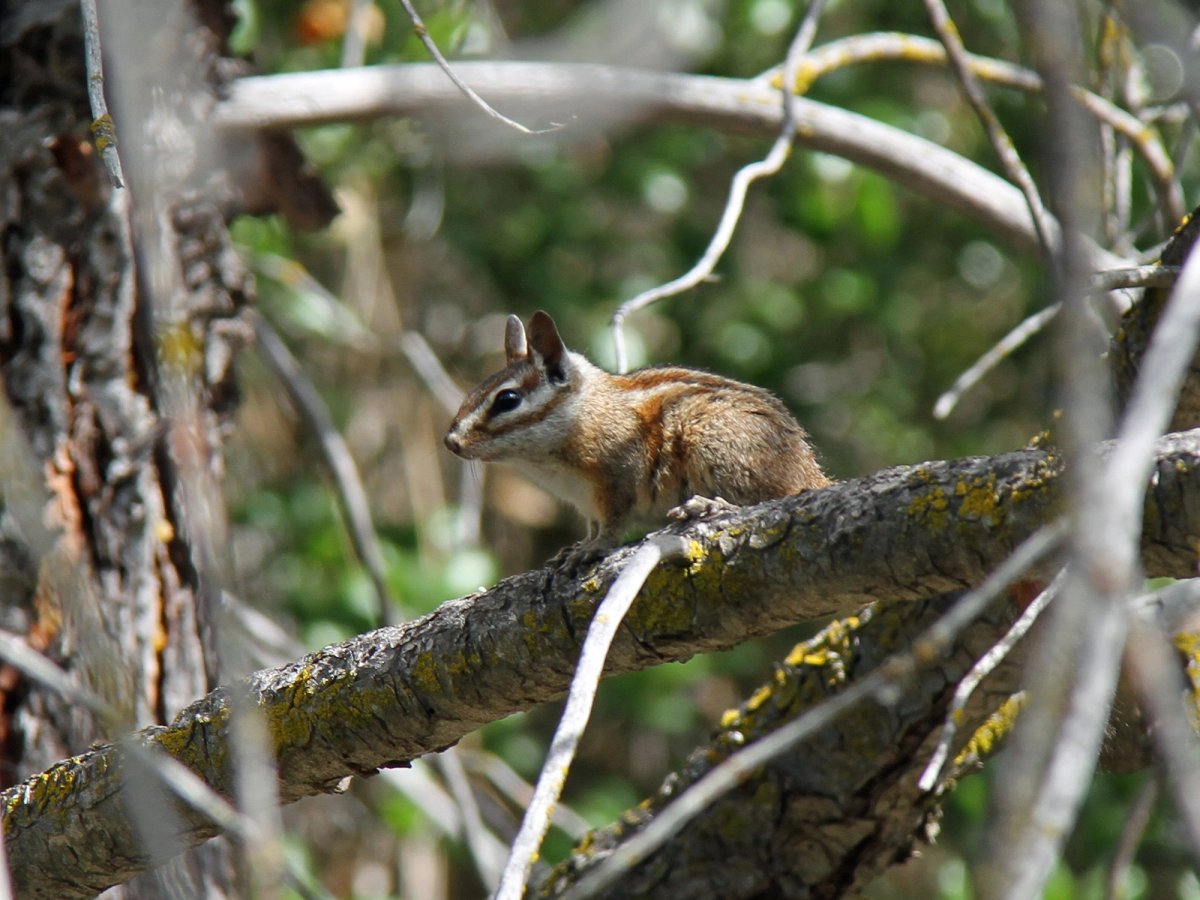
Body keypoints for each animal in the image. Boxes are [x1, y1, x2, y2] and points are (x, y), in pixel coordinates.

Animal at [444, 311, 831, 564]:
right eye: (473, 391)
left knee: (769, 499)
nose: (451, 442)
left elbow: (613, 520)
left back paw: (712, 506)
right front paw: (575, 547)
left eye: (507, 400)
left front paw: (593, 549)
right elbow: (593, 525)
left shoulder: (619, 476)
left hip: (717, 446)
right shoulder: (588, 505)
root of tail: (811, 471)